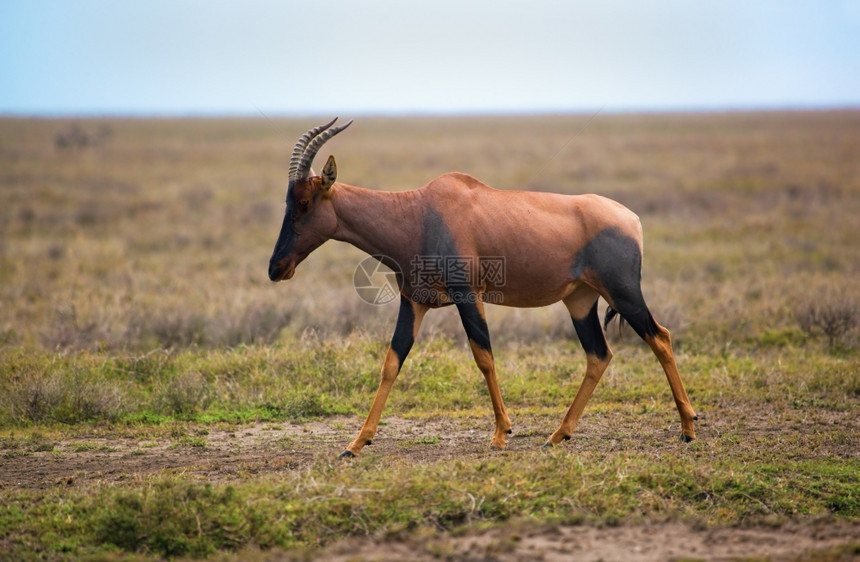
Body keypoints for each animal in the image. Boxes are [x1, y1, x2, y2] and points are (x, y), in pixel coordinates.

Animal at [270, 117, 700, 456]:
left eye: (305, 201)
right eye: (288, 201)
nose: (277, 269)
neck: (420, 212)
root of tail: (632, 219)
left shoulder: (468, 296)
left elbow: (484, 357)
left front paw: (500, 434)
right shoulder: (413, 301)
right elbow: (392, 362)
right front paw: (356, 443)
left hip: (624, 293)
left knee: (660, 337)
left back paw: (688, 428)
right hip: (579, 301)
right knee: (599, 354)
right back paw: (557, 435)